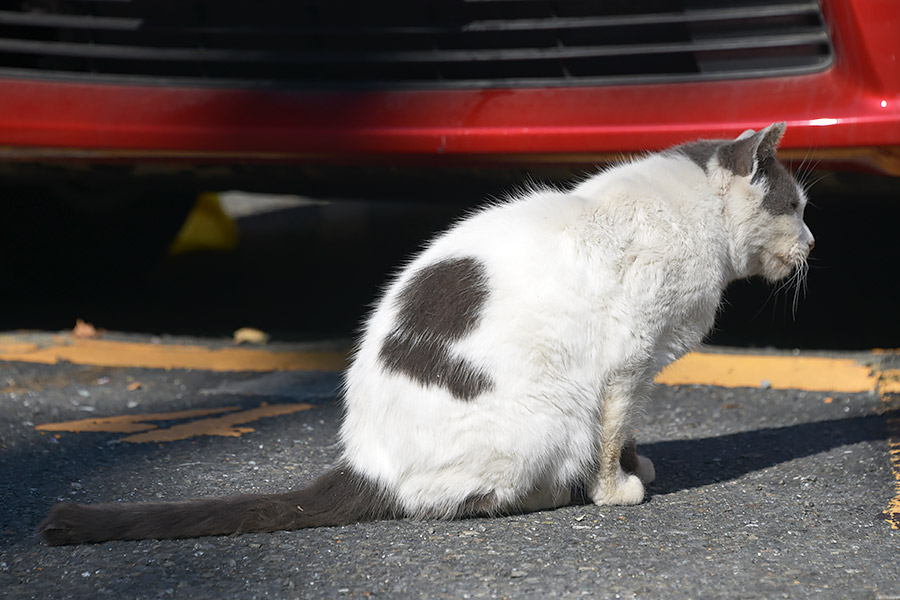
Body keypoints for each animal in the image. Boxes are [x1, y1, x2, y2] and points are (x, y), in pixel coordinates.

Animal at [38, 122, 816, 544]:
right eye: (797, 207)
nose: (814, 240)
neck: (691, 218)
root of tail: (364, 460)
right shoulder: (625, 366)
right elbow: (609, 440)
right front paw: (617, 489)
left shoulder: (634, 372)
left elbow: (626, 432)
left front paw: (639, 464)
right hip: (548, 415)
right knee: (453, 503)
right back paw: (549, 493)